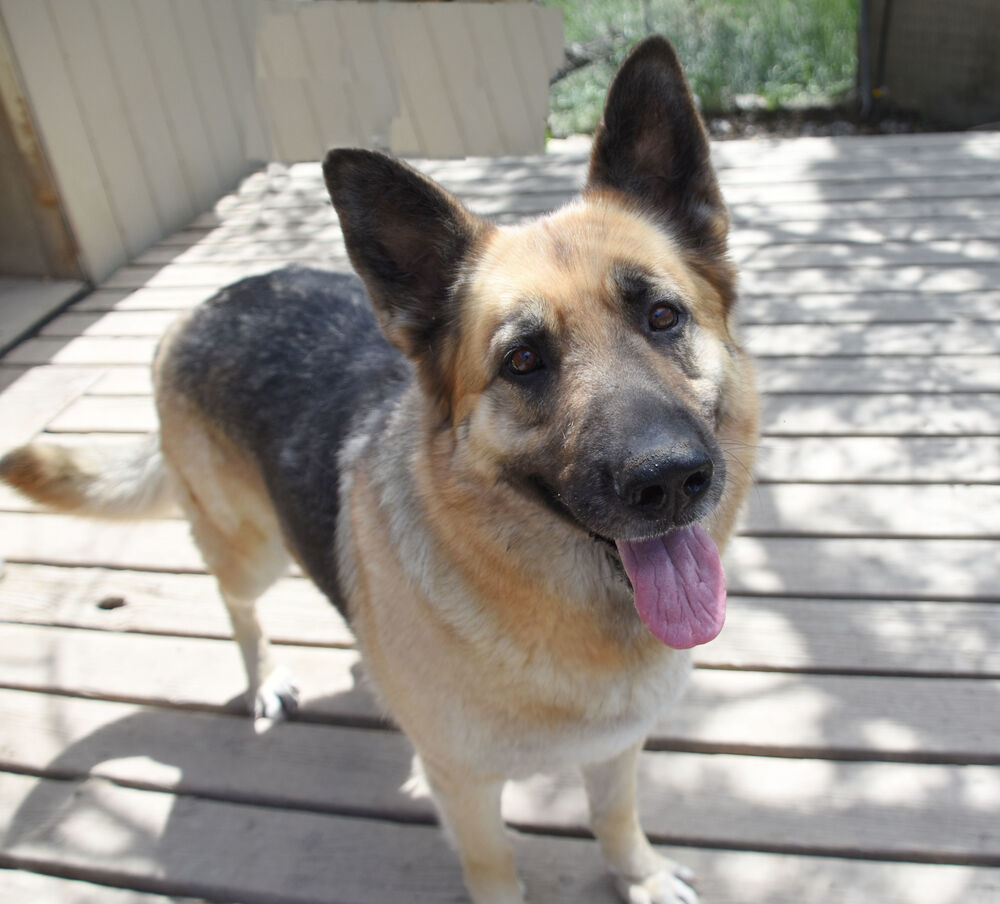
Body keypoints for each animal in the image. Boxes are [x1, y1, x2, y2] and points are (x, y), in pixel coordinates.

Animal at [3, 35, 756, 904]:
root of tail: (205, 304)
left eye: (662, 317)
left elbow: (614, 817)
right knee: (237, 605)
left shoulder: (616, 750)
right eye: (523, 361)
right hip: (250, 549)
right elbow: (495, 867)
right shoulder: (465, 788)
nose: (666, 480)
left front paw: (641, 875)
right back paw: (264, 676)